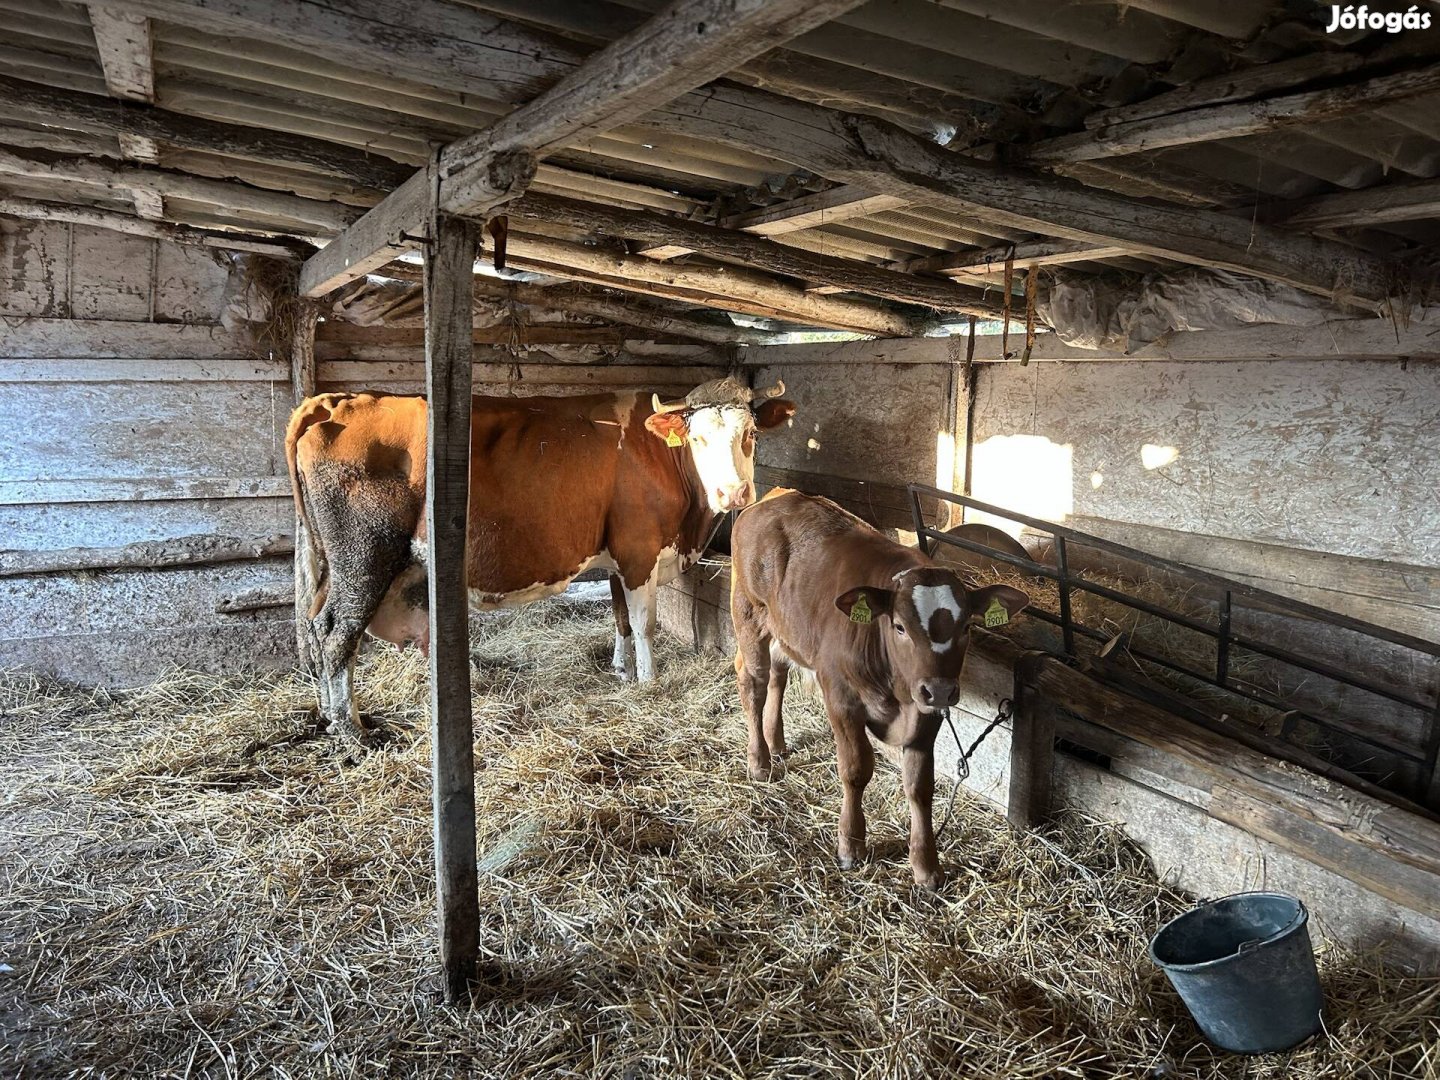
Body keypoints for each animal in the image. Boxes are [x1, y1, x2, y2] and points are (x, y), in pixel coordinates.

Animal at [285, 380, 794, 743]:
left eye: (750, 434)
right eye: (698, 438)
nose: (734, 493)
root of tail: (336, 400)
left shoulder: (617, 552)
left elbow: (620, 617)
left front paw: (621, 670)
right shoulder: (638, 550)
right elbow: (644, 623)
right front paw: (649, 682)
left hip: (337, 565)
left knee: (317, 626)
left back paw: (332, 717)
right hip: (364, 559)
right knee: (336, 636)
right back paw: (352, 731)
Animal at [731, 489, 1025, 887]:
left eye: (966, 627)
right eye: (899, 626)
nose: (940, 689)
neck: (897, 691)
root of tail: (775, 497)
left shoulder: (926, 711)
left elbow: (920, 786)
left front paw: (925, 865)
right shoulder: (841, 697)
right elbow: (856, 770)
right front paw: (850, 845)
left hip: (786, 629)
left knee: (778, 675)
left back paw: (776, 745)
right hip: (748, 614)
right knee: (754, 685)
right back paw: (759, 762)